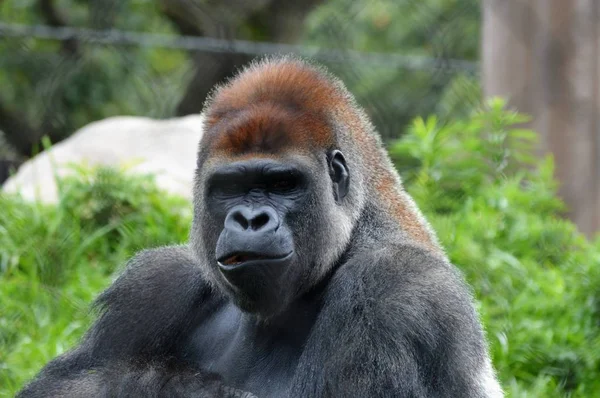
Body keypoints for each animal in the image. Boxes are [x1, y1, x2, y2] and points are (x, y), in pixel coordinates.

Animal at [18, 56, 504, 398]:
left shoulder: (397, 289)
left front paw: (168, 385)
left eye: (283, 184)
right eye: (231, 187)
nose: (251, 219)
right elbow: (56, 386)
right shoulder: (154, 284)